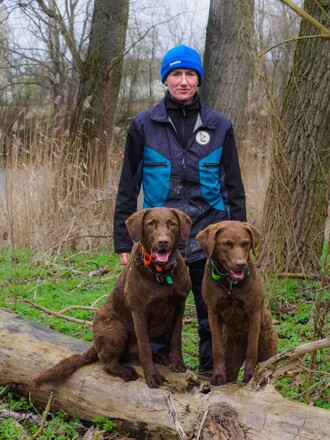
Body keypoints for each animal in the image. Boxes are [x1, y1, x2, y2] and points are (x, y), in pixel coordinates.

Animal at [33, 209, 191, 388]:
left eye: (172, 223)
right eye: (151, 223)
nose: (163, 241)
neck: (161, 275)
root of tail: (95, 345)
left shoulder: (180, 305)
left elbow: (176, 338)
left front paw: (177, 363)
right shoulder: (139, 311)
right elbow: (144, 347)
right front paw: (152, 375)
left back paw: (157, 356)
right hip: (115, 329)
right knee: (109, 363)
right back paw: (125, 371)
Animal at [197, 220, 278, 384]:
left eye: (246, 243)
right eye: (227, 244)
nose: (240, 264)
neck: (230, 284)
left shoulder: (253, 312)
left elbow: (251, 350)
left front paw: (249, 376)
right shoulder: (213, 312)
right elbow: (217, 350)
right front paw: (217, 376)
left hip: (268, 351)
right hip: (232, 356)